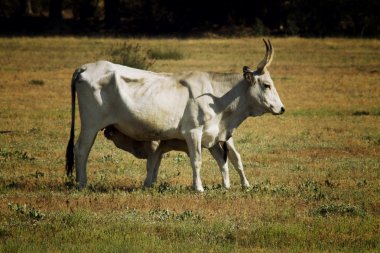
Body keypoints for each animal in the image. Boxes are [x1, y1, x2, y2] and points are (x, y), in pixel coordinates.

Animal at [66, 38, 284, 191]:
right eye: (266, 85)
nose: (281, 108)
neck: (218, 99)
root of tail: (84, 67)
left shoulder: (214, 137)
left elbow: (224, 160)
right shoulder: (193, 132)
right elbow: (196, 160)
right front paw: (199, 188)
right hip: (91, 124)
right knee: (81, 149)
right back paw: (82, 184)